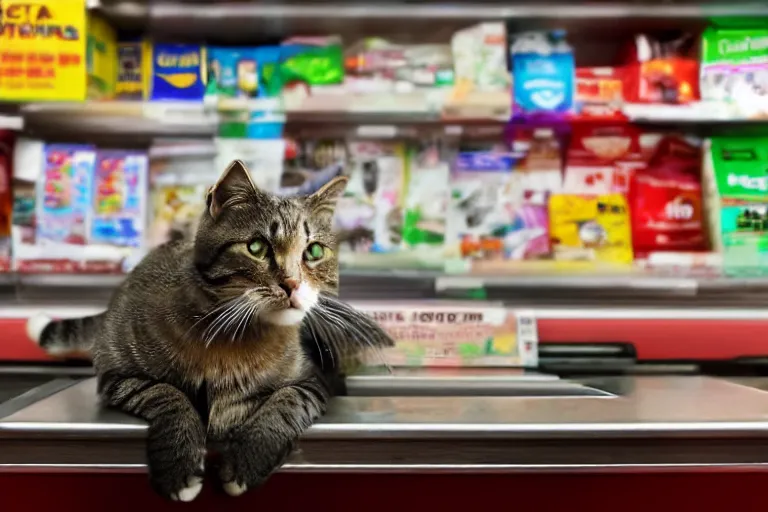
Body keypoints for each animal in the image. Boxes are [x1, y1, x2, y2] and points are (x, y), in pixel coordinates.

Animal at [27, 160, 392, 500]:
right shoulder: (117, 377)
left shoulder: (312, 381)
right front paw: (179, 464)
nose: (292, 284)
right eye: (257, 247)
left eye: (314, 251)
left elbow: (287, 402)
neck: (234, 335)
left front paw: (247, 460)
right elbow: (167, 394)